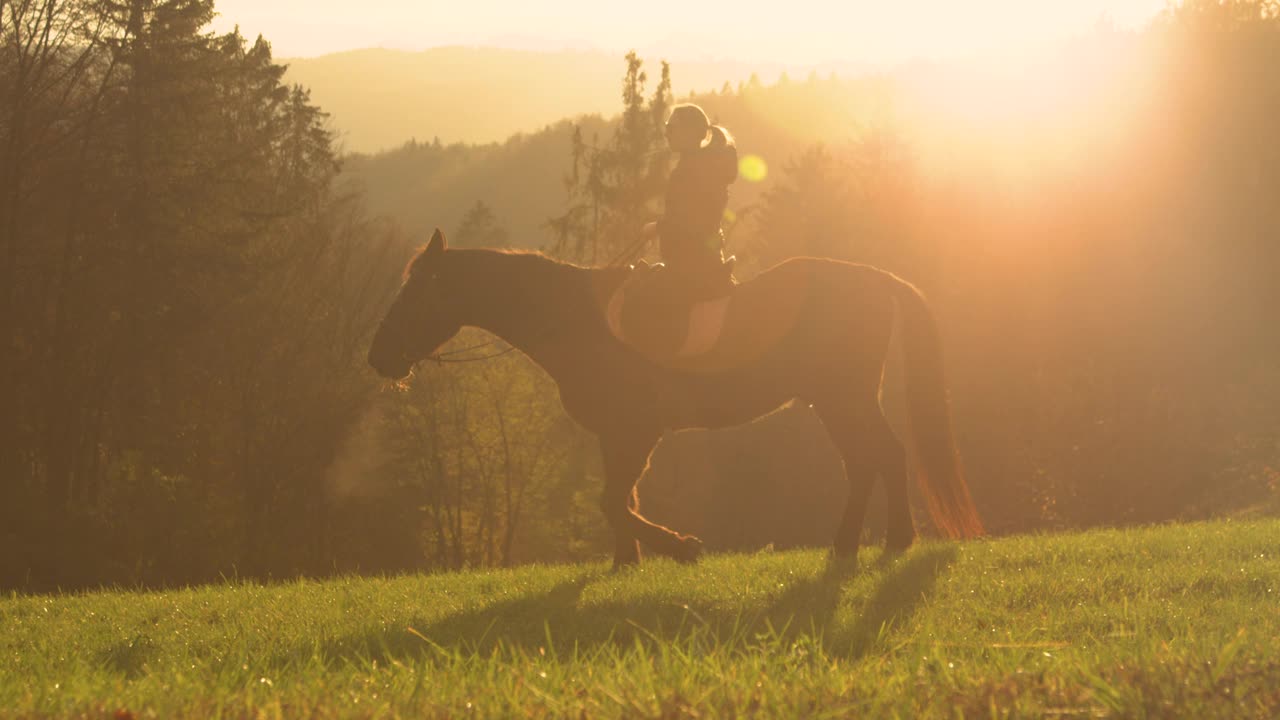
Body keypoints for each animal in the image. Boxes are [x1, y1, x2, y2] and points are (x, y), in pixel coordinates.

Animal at [366, 229, 983, 566]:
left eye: (415, 289)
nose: (379, 357)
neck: (575, 319)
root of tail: (875, 278)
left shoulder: (636, 429)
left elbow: (614, 501)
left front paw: (680, 547)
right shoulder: (617, 435)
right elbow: (621, 497)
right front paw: (628, 560)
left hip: (843, 398)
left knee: (880, 457)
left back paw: (889, 540)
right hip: (841, 401)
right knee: (871, 461)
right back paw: (855, 544)